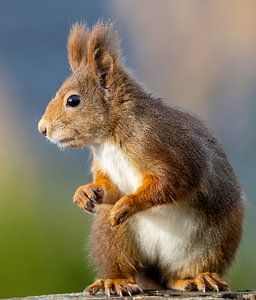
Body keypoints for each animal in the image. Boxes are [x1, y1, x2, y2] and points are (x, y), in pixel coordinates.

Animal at [37, 22, 244, 296]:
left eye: (73, 100)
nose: (42, 129)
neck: (108, 138)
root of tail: (156, 268)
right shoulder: (105, 166)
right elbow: (110, 188)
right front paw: (86, 192)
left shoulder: (161, 147)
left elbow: (172, 182)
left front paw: (128, 204)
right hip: (113, 237)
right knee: (132, 267)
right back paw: (115, 281)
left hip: (214, 240)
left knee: (178, 274)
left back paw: (200, 277)